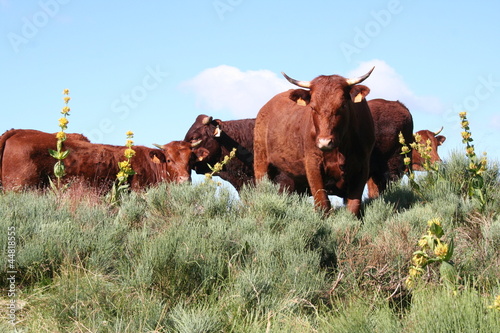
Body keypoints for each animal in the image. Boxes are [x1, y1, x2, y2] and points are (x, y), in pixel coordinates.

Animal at [254, 67, 376, 215]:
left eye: (342, 105)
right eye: (312, 107)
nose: (324, 142)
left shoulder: (362, 166)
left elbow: (353, 206)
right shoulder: (313, 164)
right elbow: (322, 203)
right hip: (261, 163)